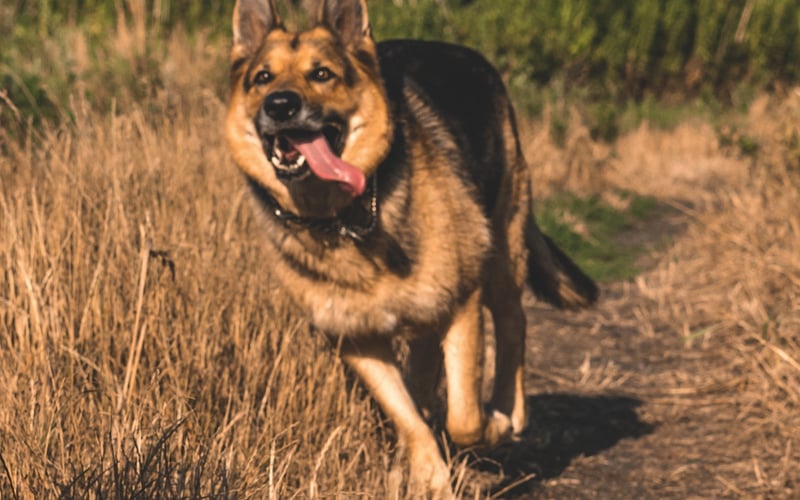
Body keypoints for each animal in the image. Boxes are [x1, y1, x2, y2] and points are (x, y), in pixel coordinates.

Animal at [228, 0, 596, 494]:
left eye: (322, 74)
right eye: (262, 78)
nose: (280, 105)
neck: (348, 217)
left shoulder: (462, 306)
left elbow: (464, 419)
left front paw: (492, 426)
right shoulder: (358, 341)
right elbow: (408, 418)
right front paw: (429, 476)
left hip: (502, 251)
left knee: (513, 322)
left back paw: (511, 410)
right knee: (424, 377)